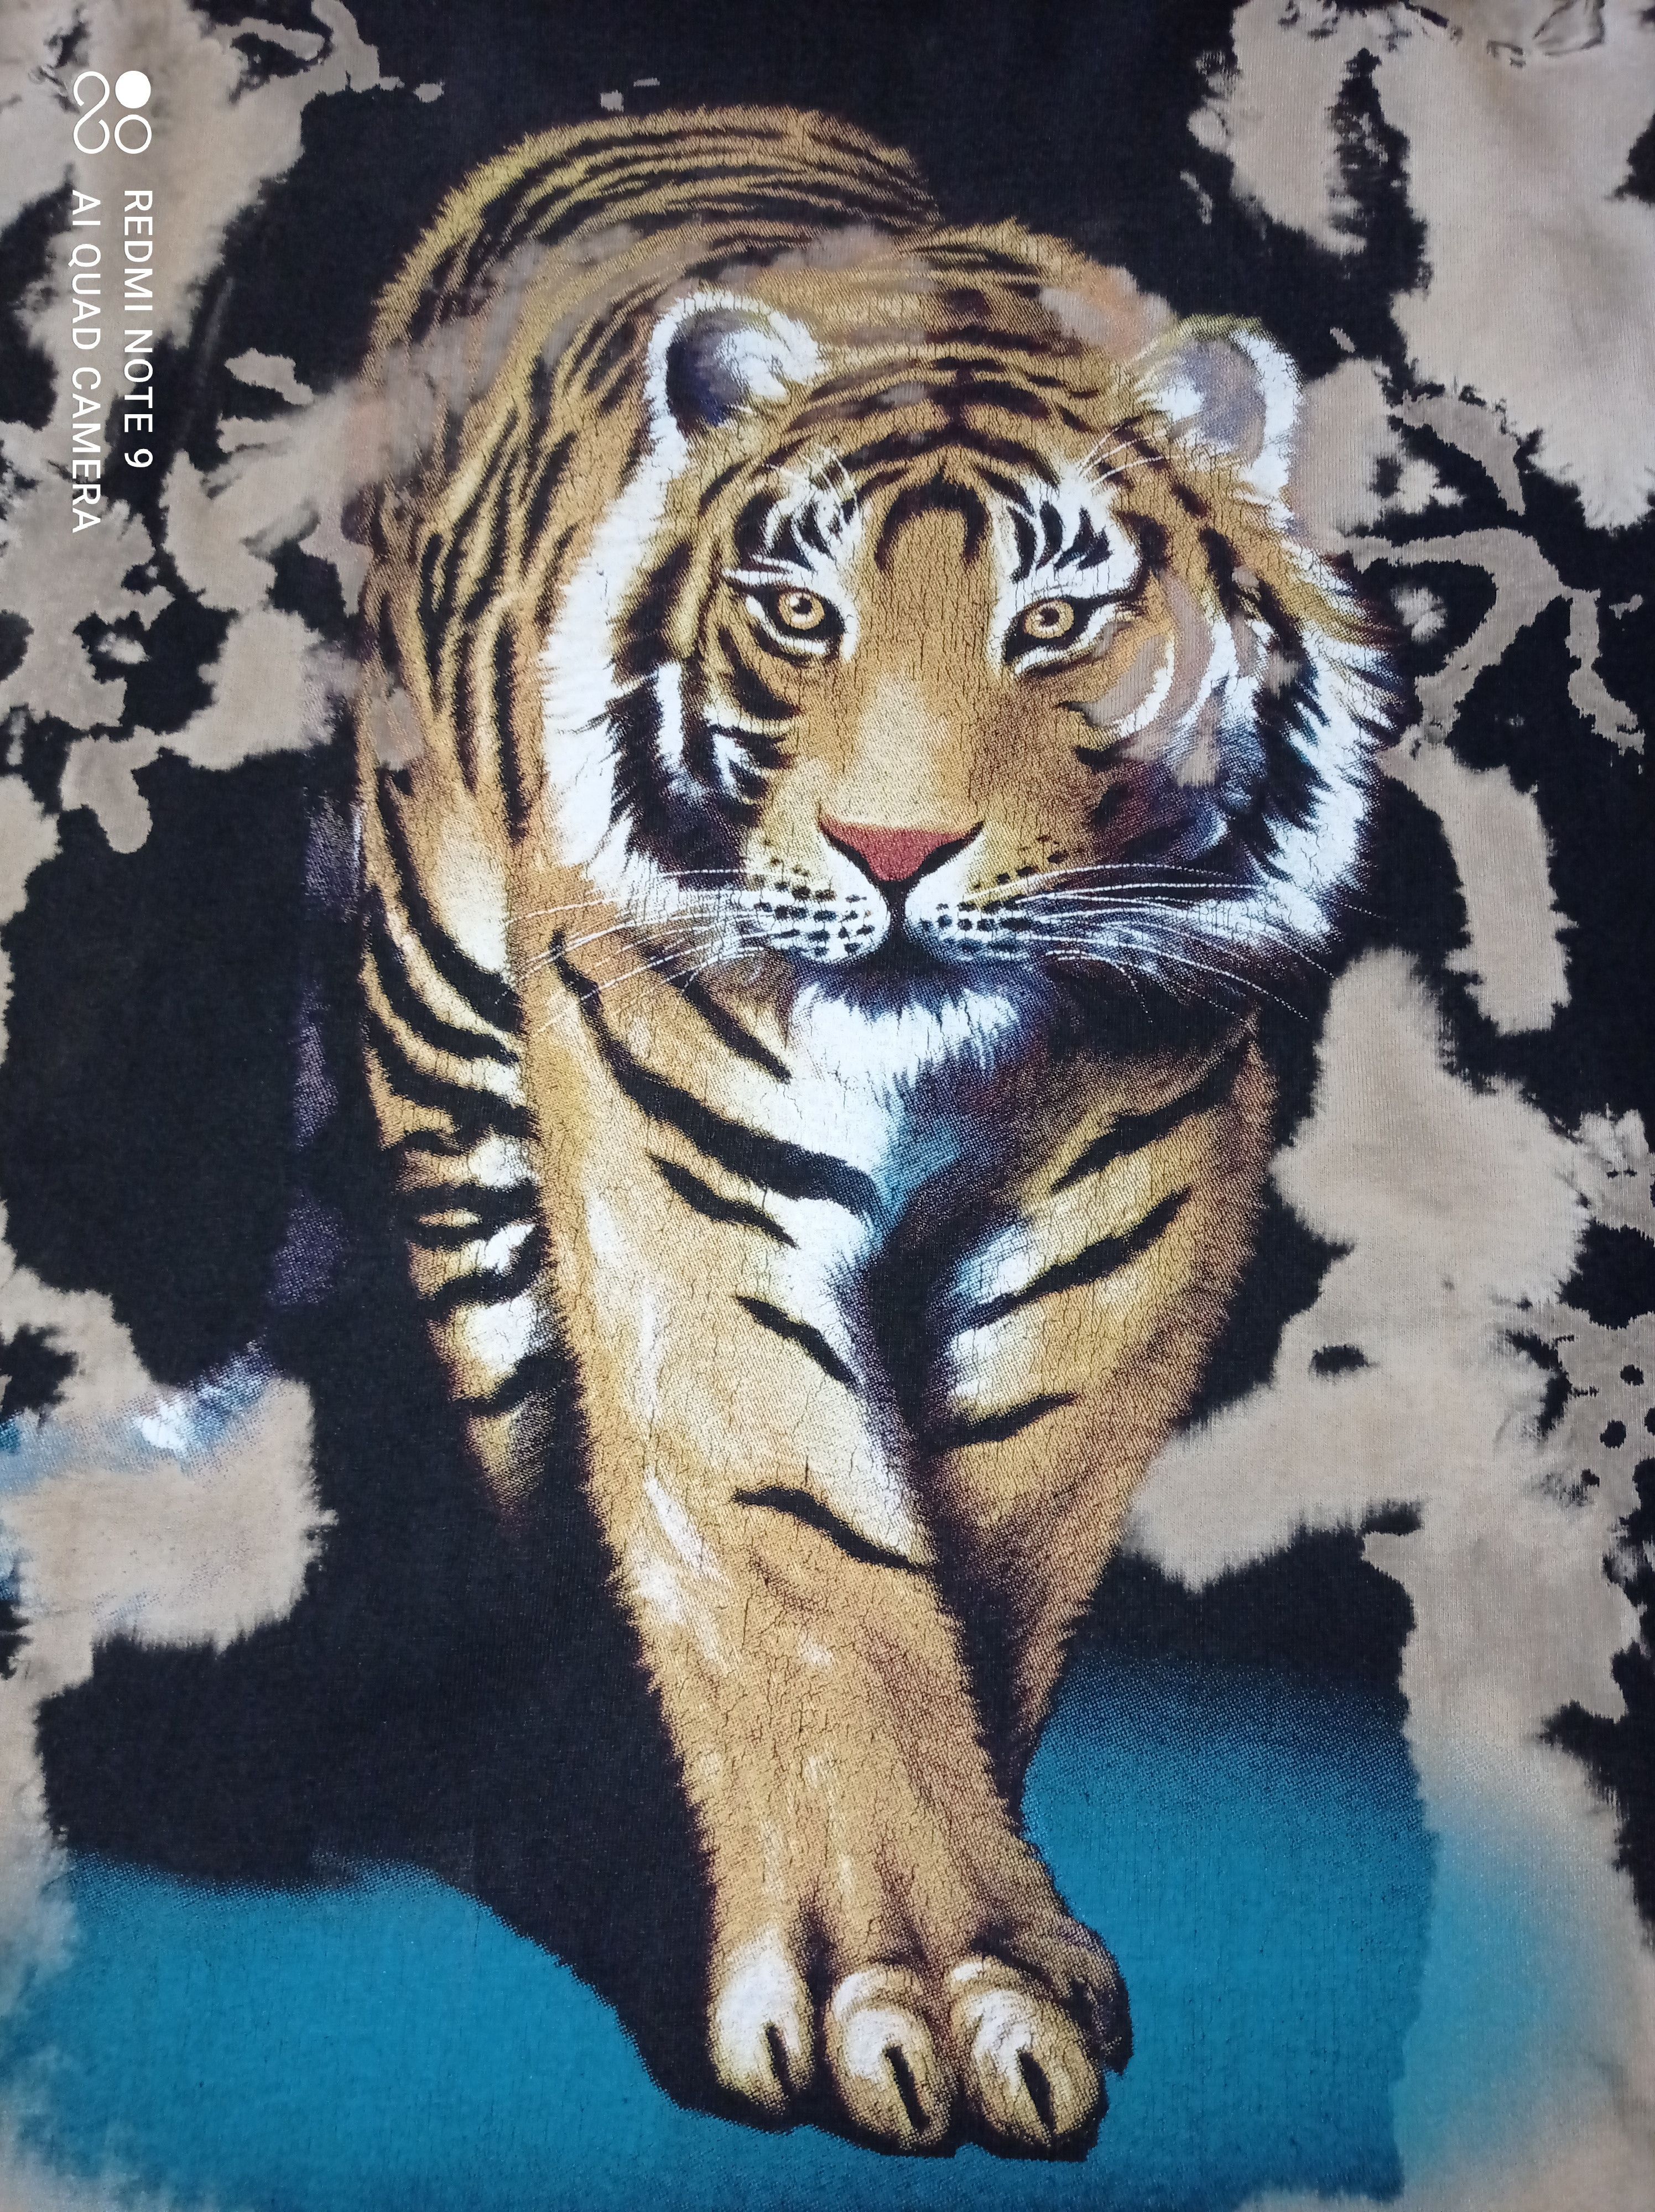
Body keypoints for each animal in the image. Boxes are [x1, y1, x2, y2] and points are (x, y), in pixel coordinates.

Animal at [350, 106, 1400, 2157]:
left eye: (1055, 623)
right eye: (799, 615)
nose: (892, 850)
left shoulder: (1132, 1196)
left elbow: (991, 1544)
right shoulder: (683, 1172)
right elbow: (803, 1556)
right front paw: (912, 1991)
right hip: (444, 1060)